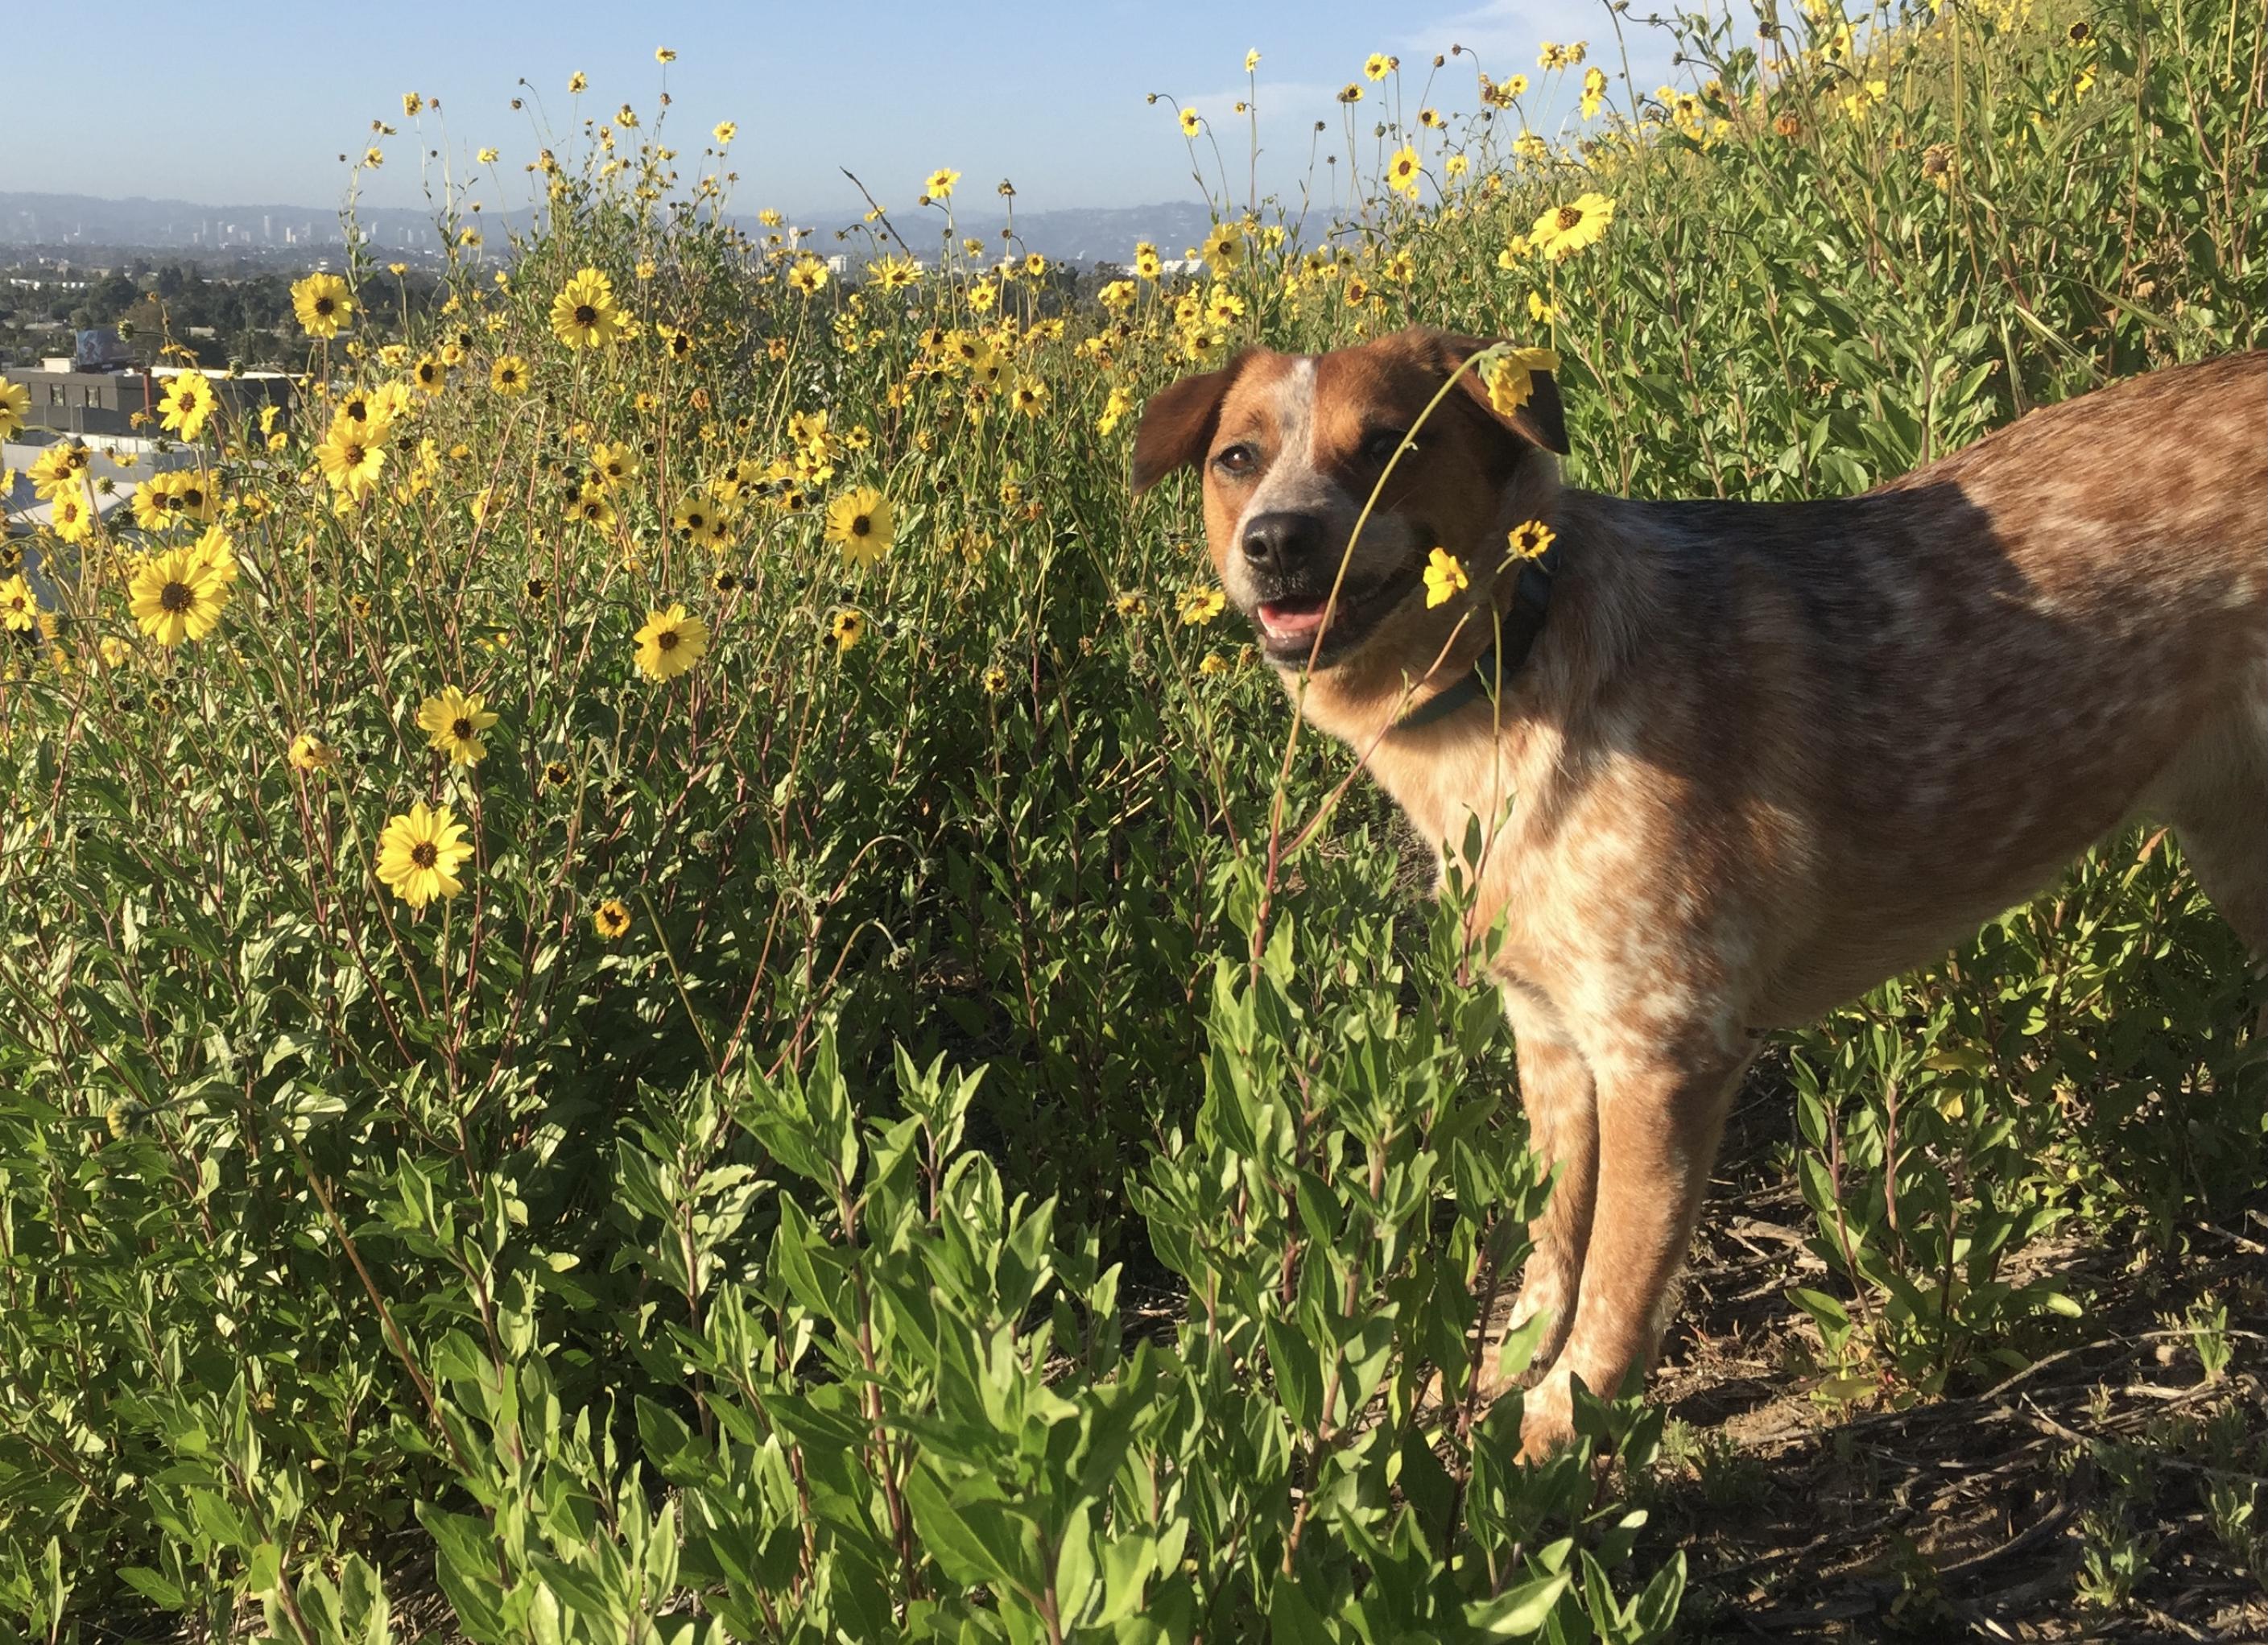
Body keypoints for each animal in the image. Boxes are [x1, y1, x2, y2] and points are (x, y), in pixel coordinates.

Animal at [1129, 331, 2268, 1452]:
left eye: (1386, 445)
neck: (1514, 667)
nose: (1277, 539)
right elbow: (1551, 1252)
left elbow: (1615, 1289)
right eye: (1238, 458)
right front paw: (1500, 1386)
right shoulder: (1549, 1038)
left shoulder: (1664, 1054)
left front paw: (1551, 1439)